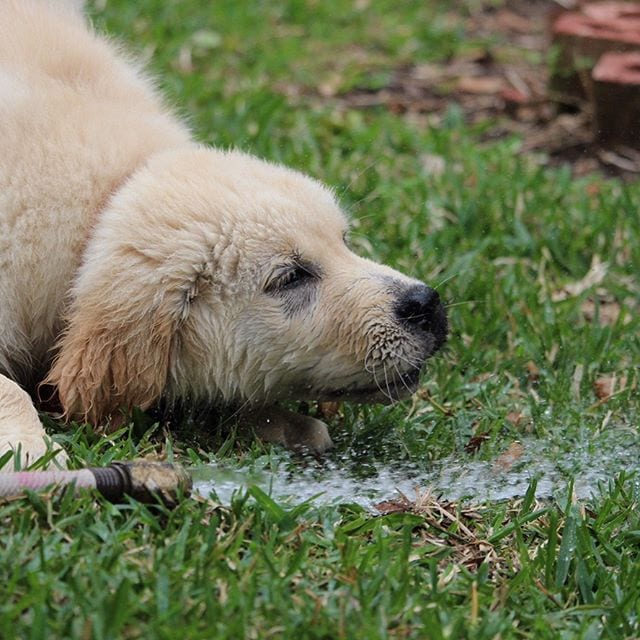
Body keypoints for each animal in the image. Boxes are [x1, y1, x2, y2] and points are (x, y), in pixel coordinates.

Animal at [0, 0, 444, 462]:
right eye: (291, 278)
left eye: (344, 242)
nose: (427, 305)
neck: (103, 202)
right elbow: (10, 390)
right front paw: (29, 449)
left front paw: (279, 423)